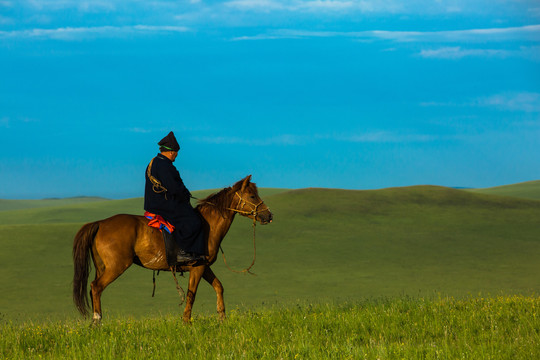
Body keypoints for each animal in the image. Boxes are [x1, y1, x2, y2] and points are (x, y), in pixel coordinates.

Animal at [71, 176, 272, 324]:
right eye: (252, 196)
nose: (269, 215)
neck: (208, 225)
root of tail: (100, 223)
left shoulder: (204, 267)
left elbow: (218, 286)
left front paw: (222, 318)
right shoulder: (197, 268)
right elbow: (192, 294)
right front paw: (186, 321)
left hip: (102, 267)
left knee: (94, 289)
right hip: (117, 266)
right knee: (96, 287)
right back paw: (97, 321)